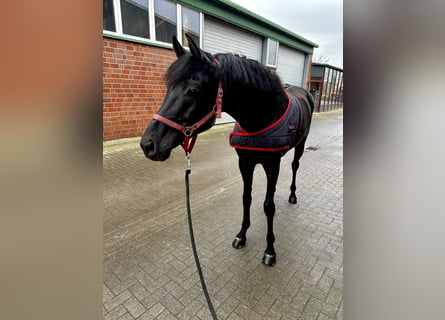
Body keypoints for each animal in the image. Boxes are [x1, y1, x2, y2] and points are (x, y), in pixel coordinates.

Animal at [140, 33, 314, 266]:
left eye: (193, 90)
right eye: (169, 88)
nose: (148, 144)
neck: (261, 117)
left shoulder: (272, 164)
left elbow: (269, 206)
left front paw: (270, 250)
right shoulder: (245, 162)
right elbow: (246, 198)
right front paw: (242, 235)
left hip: (301, 145)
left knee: (295, 166)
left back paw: (292, 195)